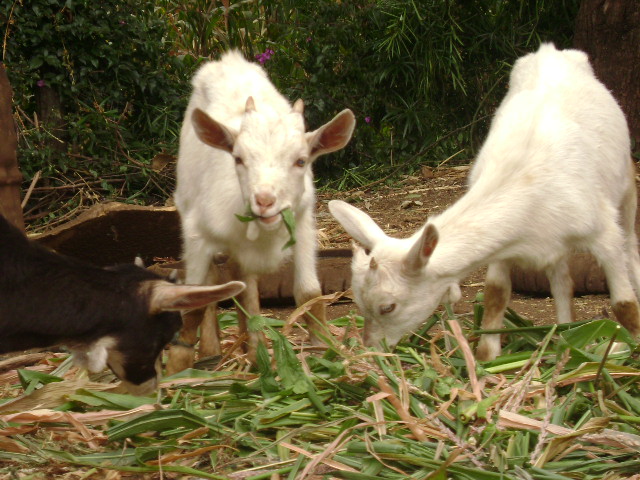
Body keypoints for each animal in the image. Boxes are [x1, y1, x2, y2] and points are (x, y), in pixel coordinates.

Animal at [166, 50, 355, 373]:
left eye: (301, 161)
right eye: (238, 159)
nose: (264, 200)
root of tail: (228, 60)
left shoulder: (302, 225)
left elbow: (308, 292)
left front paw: (326, 351)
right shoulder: (197, 235)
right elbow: (195, 300)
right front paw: (176, 368)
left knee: (244, 283)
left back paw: (251, 352)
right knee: (216, 284)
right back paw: (212, 351)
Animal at [329, 43, 640, 360]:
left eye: (388, 307)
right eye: (359, 303)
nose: (371, 350)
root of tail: (550, 50)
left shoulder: (602, 232)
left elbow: (624, 304)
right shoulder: (505, 244)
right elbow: (495, 294)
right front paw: (486, 356)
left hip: (626, 183)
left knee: (630, 244)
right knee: (562, 281)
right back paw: (564, 337)